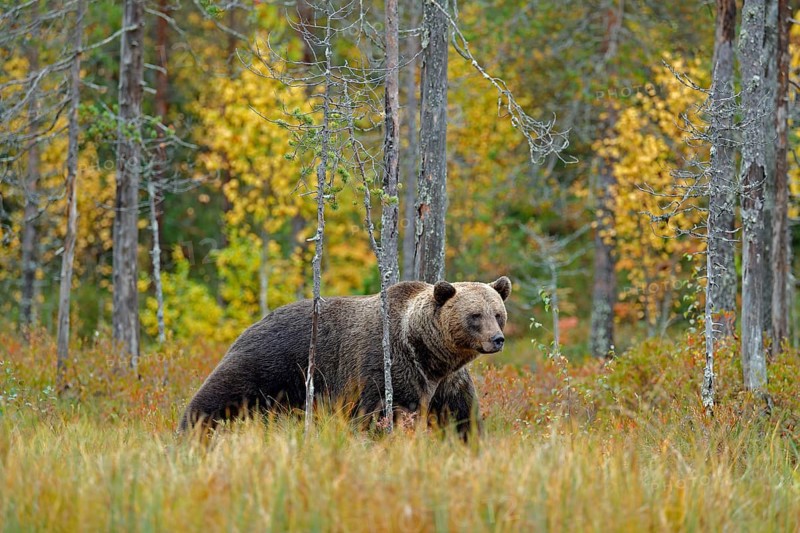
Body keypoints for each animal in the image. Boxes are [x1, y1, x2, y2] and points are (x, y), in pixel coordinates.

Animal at [179, 277, 512, 438]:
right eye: (475, 315)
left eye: (498, 313)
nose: (497, 339)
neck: (429, 354)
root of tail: (252, 324)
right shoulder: (390, 368)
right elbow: (382, 413)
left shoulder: (448, 382)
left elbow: (461, 416)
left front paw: (471, 442)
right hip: (270, 361)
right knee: (219, 394)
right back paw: (191, 430)